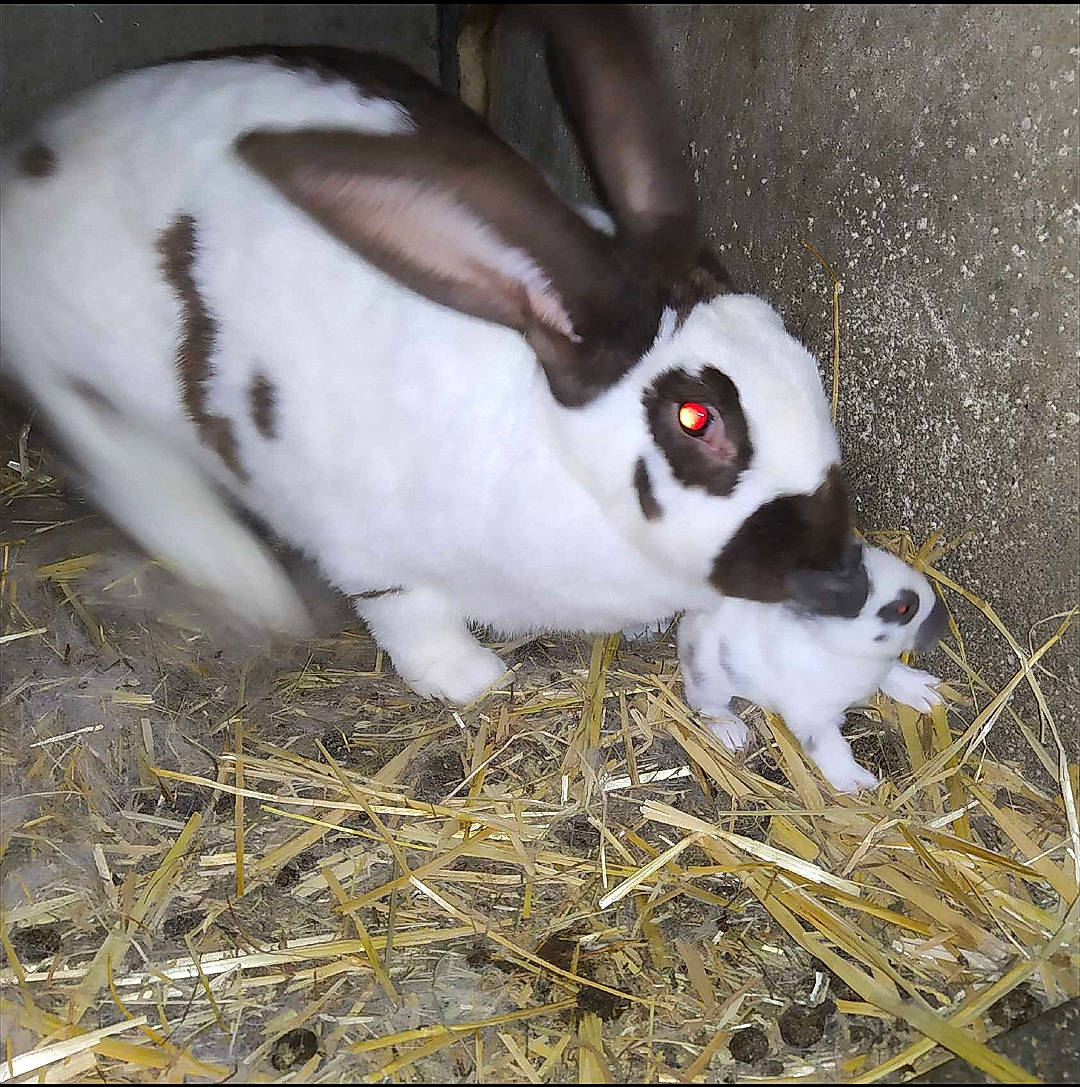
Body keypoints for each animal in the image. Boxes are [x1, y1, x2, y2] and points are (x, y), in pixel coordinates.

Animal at [0, 7, 862, 705]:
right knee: (125, 460)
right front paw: (472, 681)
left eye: (804, 354)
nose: (841, 580)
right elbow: (408, 615)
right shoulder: (368, 551)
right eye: (696, 417)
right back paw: (247, 581)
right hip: (81, 371)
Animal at [678, 542, 949, 792]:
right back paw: (734, 733)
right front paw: (857, 782)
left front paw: (926, 693)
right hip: (711, 681)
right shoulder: (811, 718)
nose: (943, 620)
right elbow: (830, 748)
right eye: (903, 608)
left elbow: (893, 674)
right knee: (705, 705)